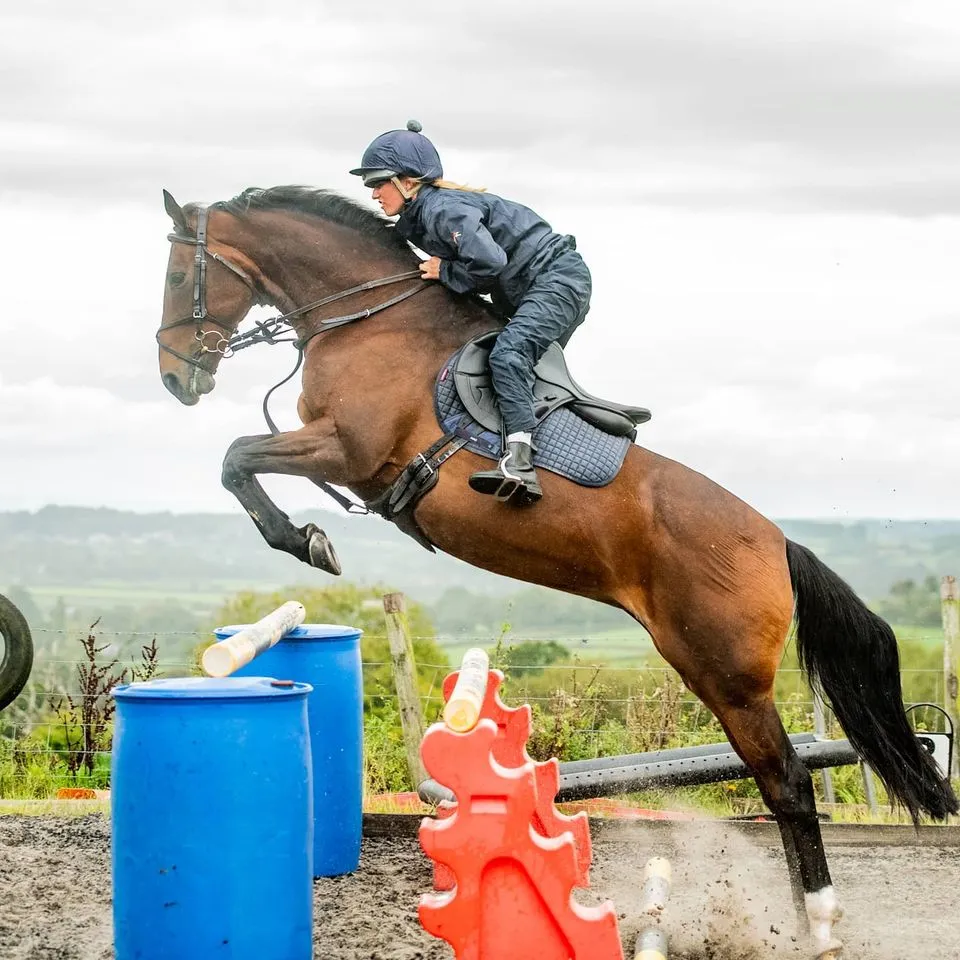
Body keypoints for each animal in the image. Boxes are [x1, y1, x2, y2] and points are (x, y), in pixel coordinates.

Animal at [156, 184, 952, 956]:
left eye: (174, 273)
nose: (173, 379)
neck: (367, 319)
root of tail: (778, 543)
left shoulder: (346, 448)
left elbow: (236, 458)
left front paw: (305, 541)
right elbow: (238, 461)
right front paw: (306, 540)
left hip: (727, 676)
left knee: (787, 781)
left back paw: (817, 922)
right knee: (779, 782)